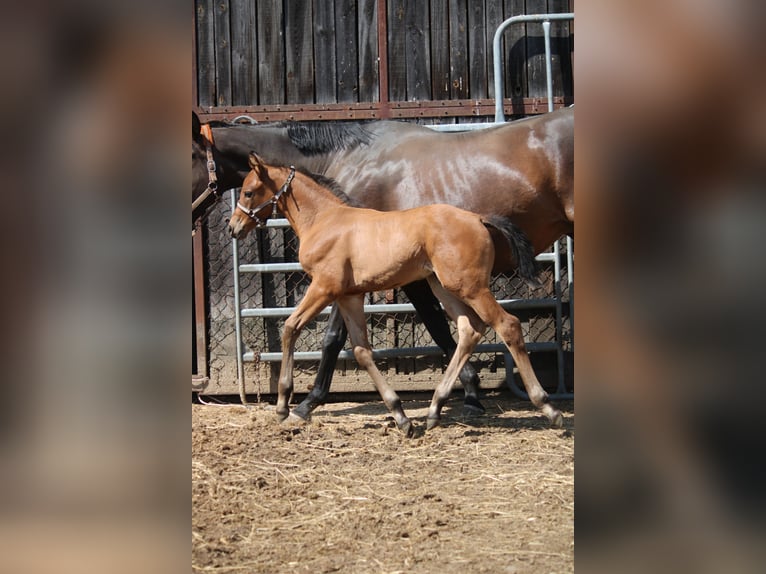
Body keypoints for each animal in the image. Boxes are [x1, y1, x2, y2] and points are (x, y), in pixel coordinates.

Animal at [192, 107, 573, 419]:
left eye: (248, 191)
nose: (231, 227)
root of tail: (481, 219)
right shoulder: (388, 282)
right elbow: (428, 330)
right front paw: (464, 396)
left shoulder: (340, 283)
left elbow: (331, 336)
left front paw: (302, 404)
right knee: (475, 327)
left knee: (506, 325)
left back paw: (546, 404)